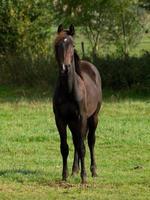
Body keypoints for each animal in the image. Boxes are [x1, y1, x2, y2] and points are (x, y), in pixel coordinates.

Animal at [52, 24, 102, 184]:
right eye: (57, 45)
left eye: (72, 45)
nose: (65, 68)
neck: (69, 89)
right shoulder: (60, 119)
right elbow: (65, 147)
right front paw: (65, 175)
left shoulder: (82, 118)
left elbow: (82, 147)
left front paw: (84, 177)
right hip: (73, 122)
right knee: (76, 141)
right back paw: (74, 170)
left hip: (93, 118)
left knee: (90, 141)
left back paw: (93, 171)